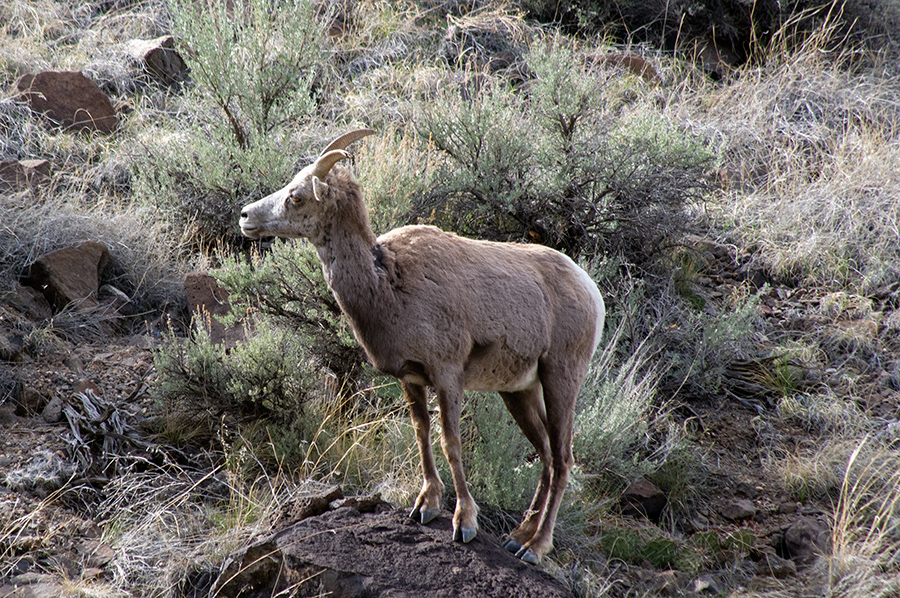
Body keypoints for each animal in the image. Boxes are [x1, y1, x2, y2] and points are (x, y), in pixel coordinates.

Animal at [239, 129, 604, 564]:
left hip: (560, 378)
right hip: (519, 391)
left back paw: (535, 548)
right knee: (546, 456)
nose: (245, 216)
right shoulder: (410, 378)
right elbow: (420, 433)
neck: (389, 285)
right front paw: (425, 506)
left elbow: (451, 444)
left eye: (296, 197)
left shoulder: (447, 376)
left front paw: (464, 523)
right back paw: (518, 537)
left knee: (563, 461)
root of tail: (591, 292)